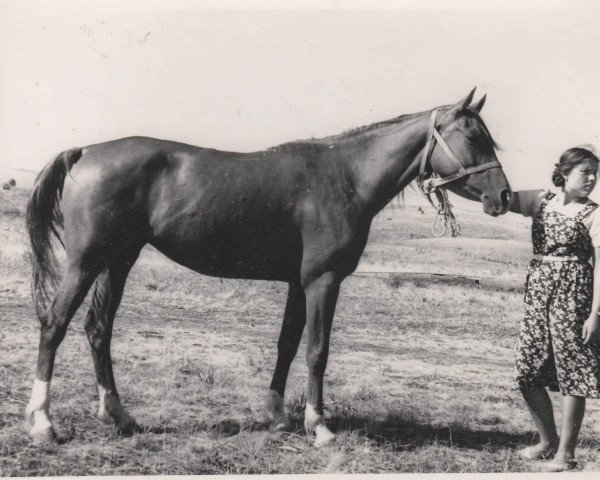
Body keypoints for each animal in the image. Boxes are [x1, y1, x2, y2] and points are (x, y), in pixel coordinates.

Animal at [23, 87, 510, 446]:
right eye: (473, 137)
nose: (504, 196)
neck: (346, 177)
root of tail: (86, 152)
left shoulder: (299, 283)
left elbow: (287, 345)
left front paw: (278, 416)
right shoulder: (322, 282)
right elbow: (317, 351)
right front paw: (319, 427)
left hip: (118, 260)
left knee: (98, 329)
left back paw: (119, 416)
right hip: (86, 261)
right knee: (55, 323)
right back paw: (44, 423)